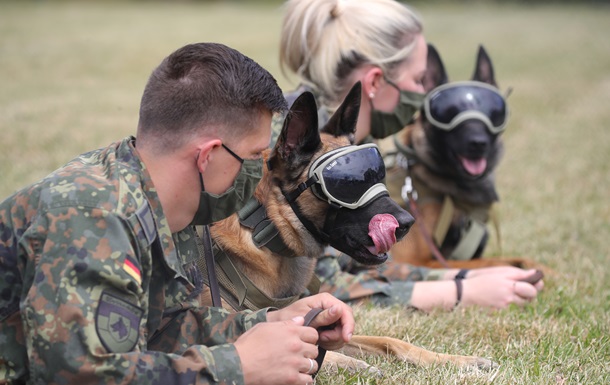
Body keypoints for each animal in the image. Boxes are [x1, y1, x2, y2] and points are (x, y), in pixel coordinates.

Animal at [200, 83, 494, 372]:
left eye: (377, 174)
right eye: (347, 185)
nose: (408, 222)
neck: (266, 226)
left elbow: (391, 341)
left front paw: (455, 359)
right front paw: (347, 362)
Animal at [384, 43, 540, 270]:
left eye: (493, 112)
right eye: (447, 112)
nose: (478, 143)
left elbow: (522, 259)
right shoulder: (416, 261)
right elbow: (493, 264)